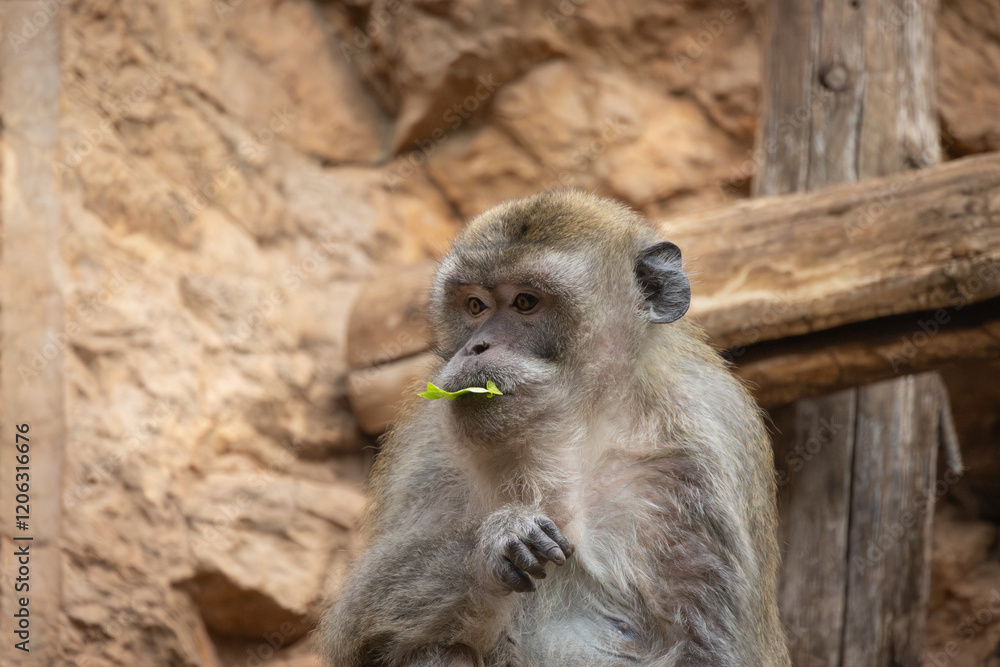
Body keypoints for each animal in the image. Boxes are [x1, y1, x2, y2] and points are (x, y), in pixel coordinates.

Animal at [321, 190, 790, 666]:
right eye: (475, 306)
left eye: (526, 302)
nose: (476, 347)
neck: (572, 435)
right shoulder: (427, 448)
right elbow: (355, 637)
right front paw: (491, 545)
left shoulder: (704, 449)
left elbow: (713, 647)